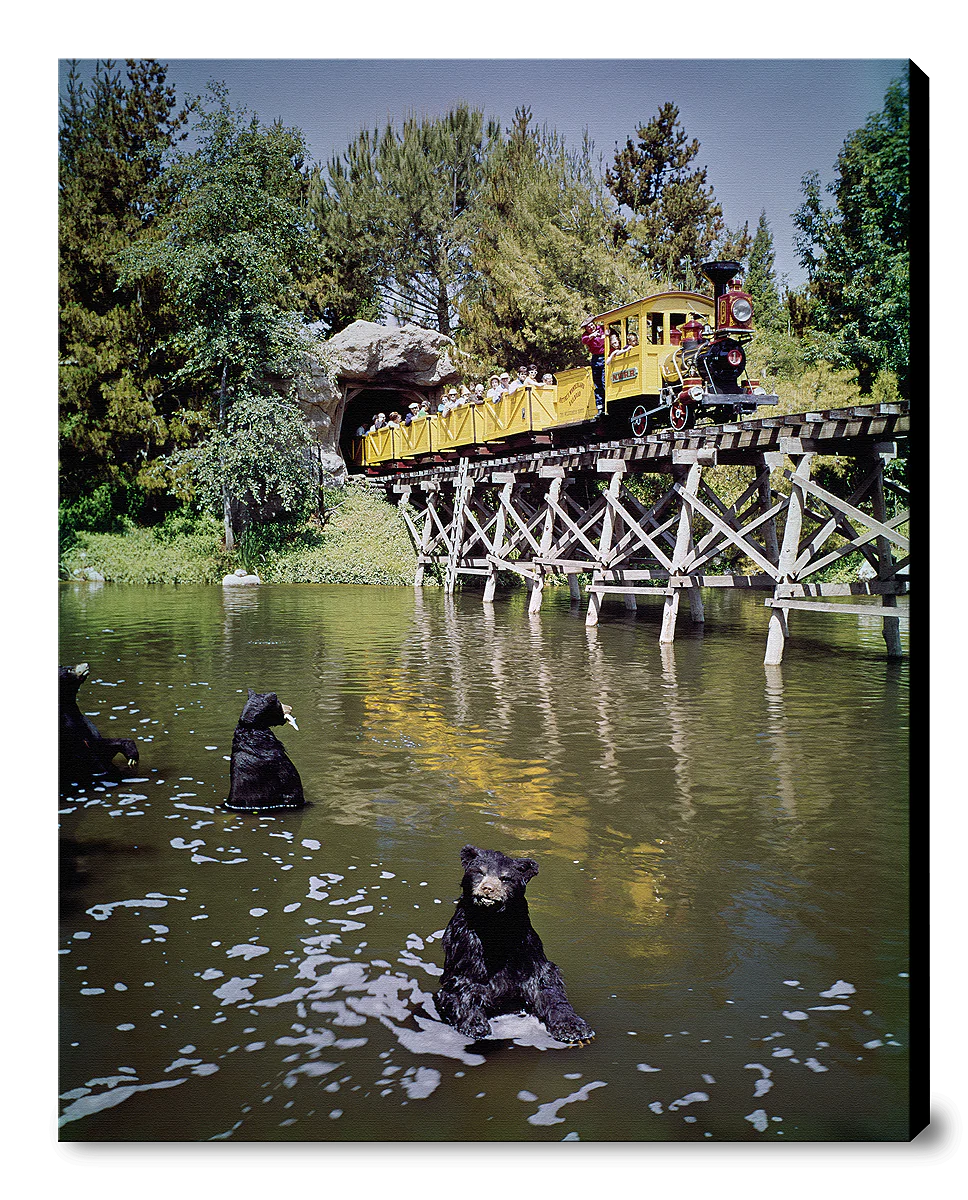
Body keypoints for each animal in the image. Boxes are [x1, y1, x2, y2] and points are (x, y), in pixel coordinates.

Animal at [435, 844, 594, 1045]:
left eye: (505, 878)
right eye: (479, 872)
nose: (488, 888)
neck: (493, 926)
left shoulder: (526, 949)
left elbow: (547, 985)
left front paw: (575, 1029)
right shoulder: (466, 948)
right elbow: (461, 986)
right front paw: (475, 1025)